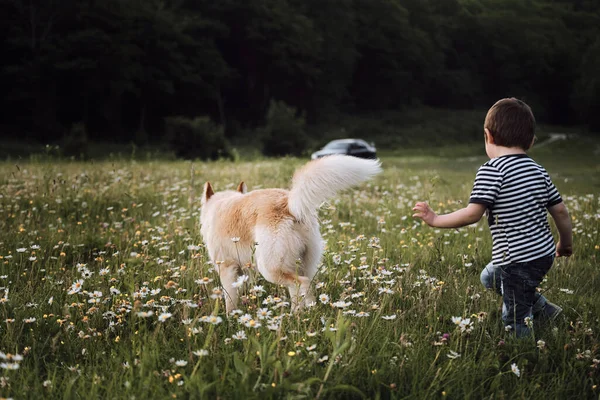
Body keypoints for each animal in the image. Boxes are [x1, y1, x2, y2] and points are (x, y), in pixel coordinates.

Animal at [200, 155, 380, 314]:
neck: (218, 206)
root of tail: (288, 203)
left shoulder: (226, 268)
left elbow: (230, 300)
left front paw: (230, 318)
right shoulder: (244, 270)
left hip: (271, 268)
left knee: (301, 284)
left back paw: (296, 315)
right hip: (303, 264)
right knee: (303, 288)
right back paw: (305, 313)